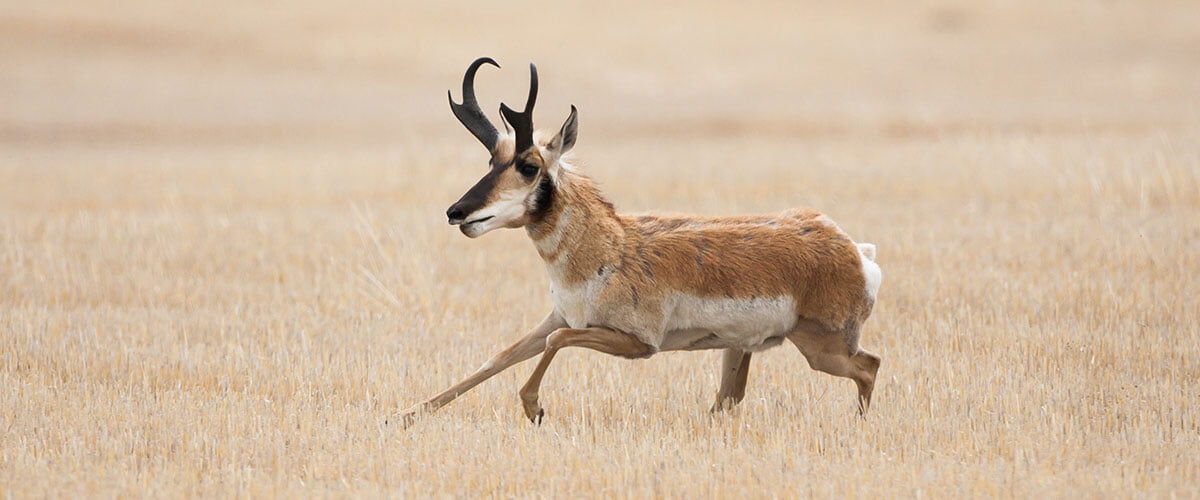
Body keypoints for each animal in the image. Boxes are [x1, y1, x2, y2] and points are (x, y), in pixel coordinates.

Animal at [396, 58, 882, 426]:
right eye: (492, 161)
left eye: (529, 166)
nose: (456, 212)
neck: (610, 247)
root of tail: (851, 247)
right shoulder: (559, 317)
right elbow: (497, 358)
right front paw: (402, 415)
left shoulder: (633, 344)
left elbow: (555, 344)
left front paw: (534, 409)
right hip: (740, 351)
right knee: (727, 401)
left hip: (823, 349)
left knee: (869, 366)